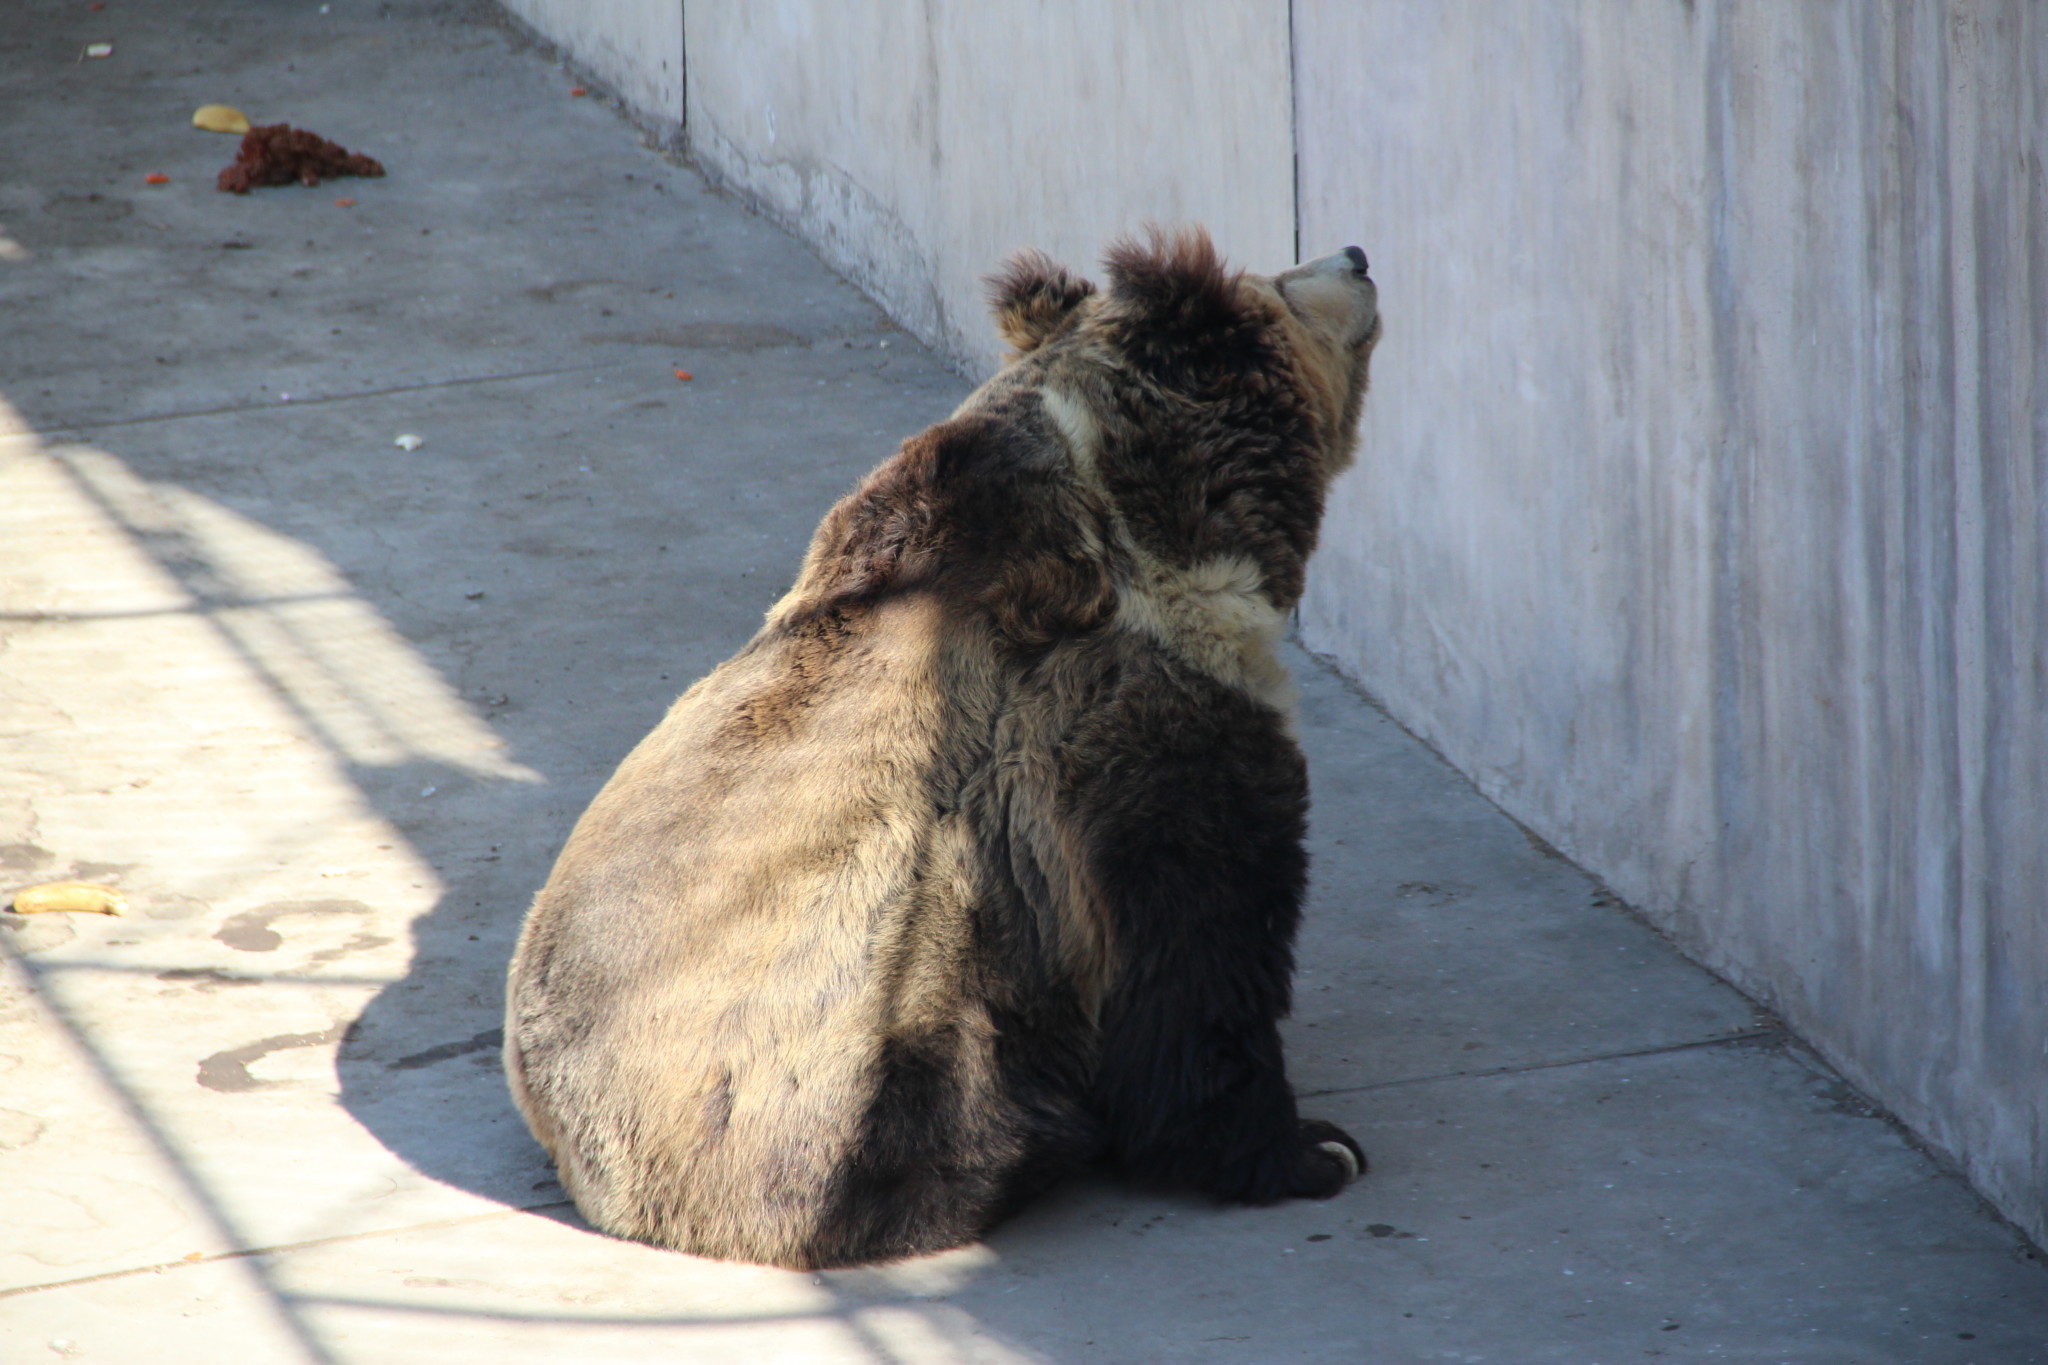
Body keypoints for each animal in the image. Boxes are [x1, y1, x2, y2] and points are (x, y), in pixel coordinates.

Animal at [503, 232, 1384, 1268]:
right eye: (1284, 279)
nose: (1357, 254)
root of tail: (603, 1187)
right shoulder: (1113, 723)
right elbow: (1198, 947)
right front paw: (1311, 1149)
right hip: (825, 1056)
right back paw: (1021, 1150)